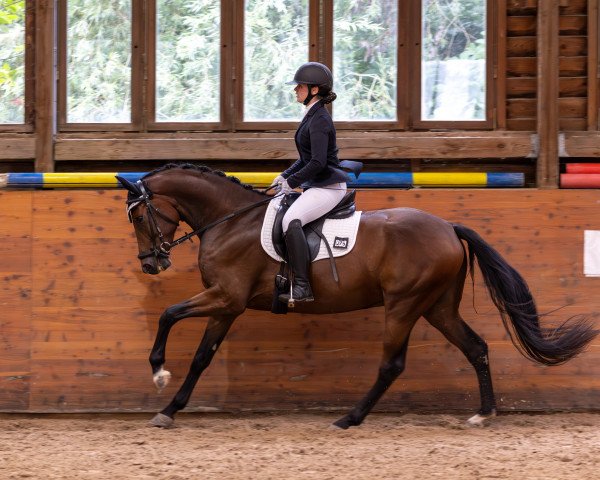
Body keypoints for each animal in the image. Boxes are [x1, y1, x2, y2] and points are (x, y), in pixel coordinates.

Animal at [117, 163, 596, 430]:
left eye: (139, 216)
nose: (151, 264)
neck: (229, 220)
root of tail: (448, 227)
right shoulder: (227, 306)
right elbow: (202, 356)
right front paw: (170, 409)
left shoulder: (225, 298)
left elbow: (168, 313)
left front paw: (158, 372)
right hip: (437, 306)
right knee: (476, 347)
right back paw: (484, 413)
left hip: (404, 305)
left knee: (392, 365)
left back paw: (350, 417)